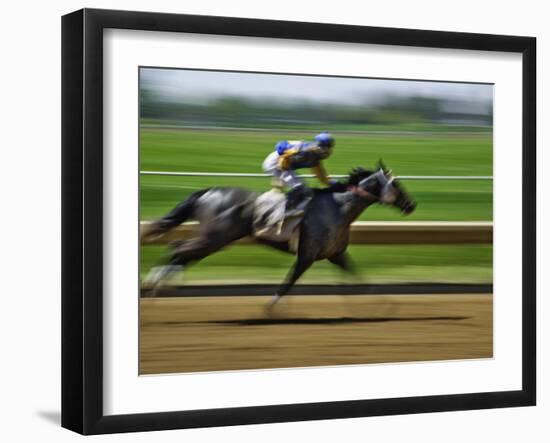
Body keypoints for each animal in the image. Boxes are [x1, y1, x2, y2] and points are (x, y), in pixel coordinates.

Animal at [140, 163, 416, 306]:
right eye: (397, 184)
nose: (411, 205)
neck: (338, 208)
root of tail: (208, 191)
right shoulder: (306, 255)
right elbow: (287, 284)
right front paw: (270, 309)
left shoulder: (336, 254)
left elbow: (362, 280)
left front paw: (386, 306)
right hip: (213, 237)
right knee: (178, 248)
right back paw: (153, 285)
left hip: (213, 240)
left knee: (181, 253)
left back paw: (160, 286)